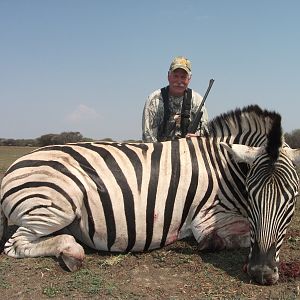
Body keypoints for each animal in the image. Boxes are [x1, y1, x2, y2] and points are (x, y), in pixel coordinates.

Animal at [0, 105, 298, 284]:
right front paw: (211, 244)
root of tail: (13, 167)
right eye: (251, 194)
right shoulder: (206, 220)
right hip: (55, 206)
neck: (224, 166)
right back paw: (71, 253)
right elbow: (240, 235)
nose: (261, 273)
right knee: (15, 244)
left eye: (293, 198)